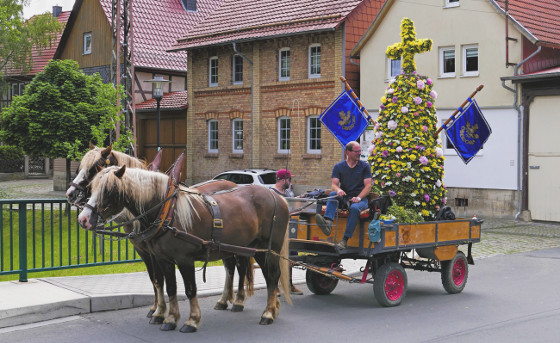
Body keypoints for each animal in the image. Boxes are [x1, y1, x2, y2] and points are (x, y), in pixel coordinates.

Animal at [79, 167, 294, 334]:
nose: (83, 219)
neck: (167, 211)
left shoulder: (184, 259)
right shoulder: (163, 259)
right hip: (249, 248)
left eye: (109, 189)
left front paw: (191, 320)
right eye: (92, 187)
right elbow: (169, 287)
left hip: (268, 250)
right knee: (252, 273)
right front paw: (169, 318)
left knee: (271, 277)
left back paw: (267, 313)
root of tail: (277, 197)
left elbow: (190, 289)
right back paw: (262, 307)